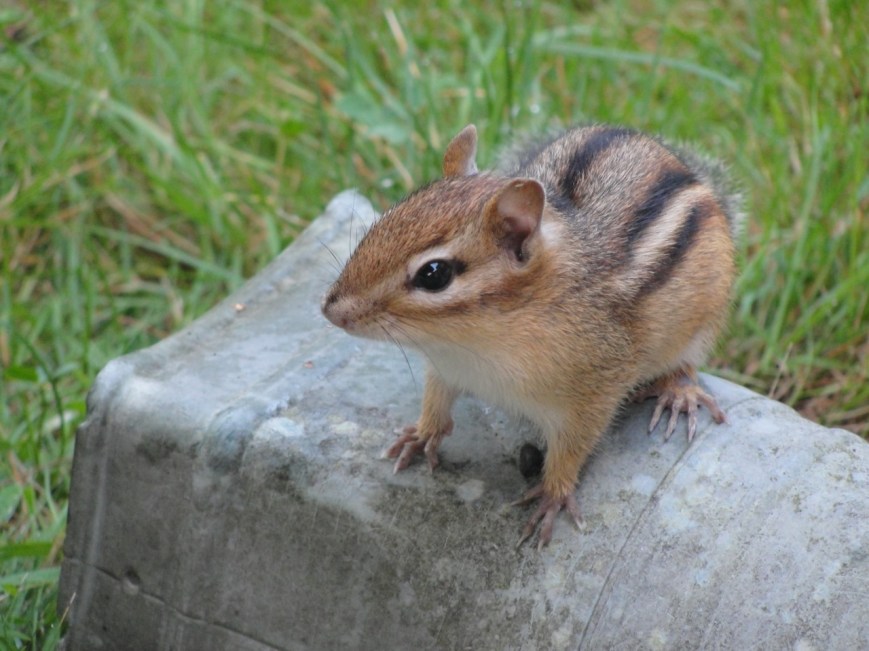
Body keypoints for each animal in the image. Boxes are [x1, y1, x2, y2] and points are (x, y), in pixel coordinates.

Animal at [322, 124, 740, 549]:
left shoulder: (593, 393)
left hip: (704, 319)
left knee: (686, 363)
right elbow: (435, 403)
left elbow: (572, 448)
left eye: (434, 274)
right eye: (384, 219)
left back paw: (679, 393)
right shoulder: (445, 369)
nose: (331, 311)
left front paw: (553, 496)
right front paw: (421, 436)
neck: (474, 344)